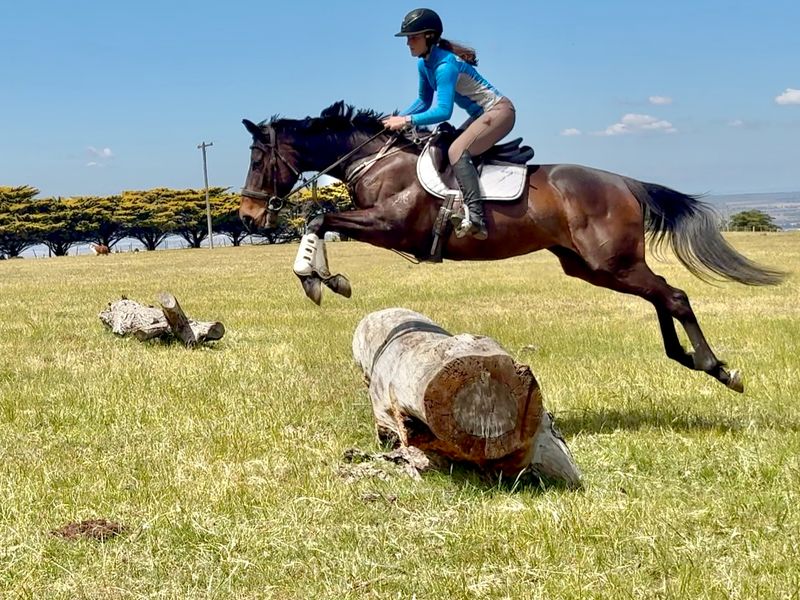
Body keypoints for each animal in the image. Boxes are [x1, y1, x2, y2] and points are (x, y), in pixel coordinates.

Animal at [238, 101, 785, 393]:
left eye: (259, 161)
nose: (247, 216)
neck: (377, 159)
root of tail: (625, 183)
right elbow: (320, 219)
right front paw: (327, 277)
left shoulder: (393, 226)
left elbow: (318, 216)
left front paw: (316, 279)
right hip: (592, 267)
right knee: (660, 296)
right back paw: (686, 358)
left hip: (610, 261)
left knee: (674, 295)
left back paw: (717, 368)